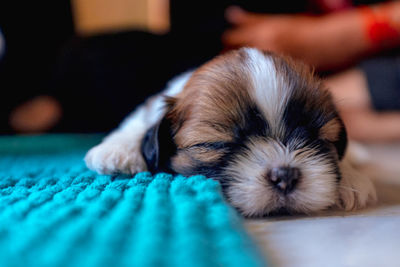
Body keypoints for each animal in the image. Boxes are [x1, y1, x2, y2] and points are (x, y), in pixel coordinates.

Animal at [86, 47, 376, 217]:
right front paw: (117, 151)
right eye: (216, 144)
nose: (285, 175)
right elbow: (139, 119)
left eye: (319, 139)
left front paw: (352, 179)